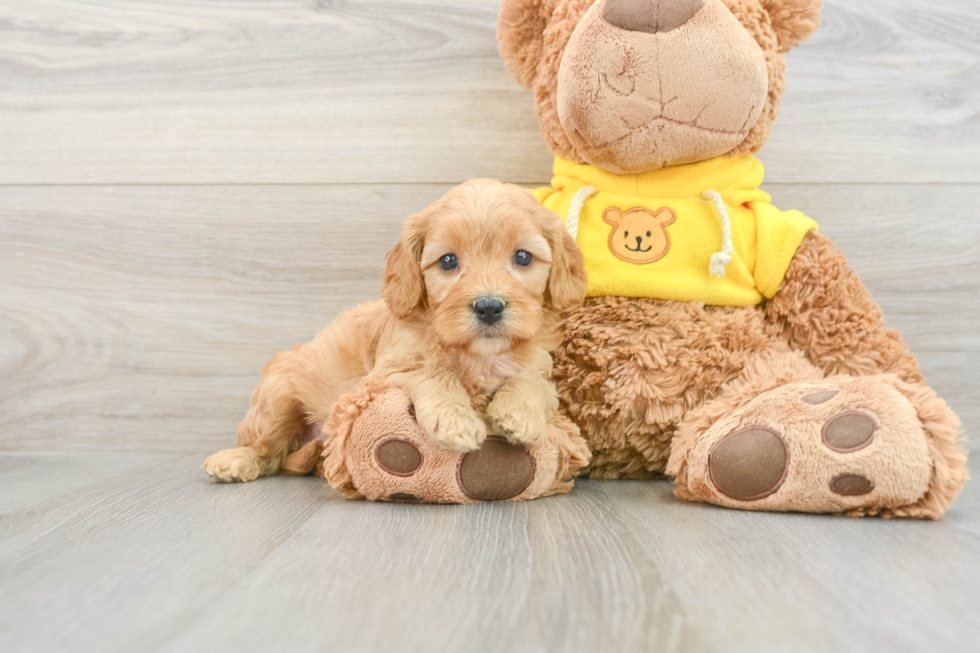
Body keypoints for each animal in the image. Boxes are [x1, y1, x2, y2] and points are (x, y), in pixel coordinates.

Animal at [203, 181, 584, 482]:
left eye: (523, 257)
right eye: (448, 261)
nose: (489, 307)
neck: (478, 353)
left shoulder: (539, 367)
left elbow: (533, 383)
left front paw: (519, 414)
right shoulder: (386, 372)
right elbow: (433, 373)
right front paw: (455, 420)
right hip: (277, 397)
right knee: (267, 449)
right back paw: (234, 460)